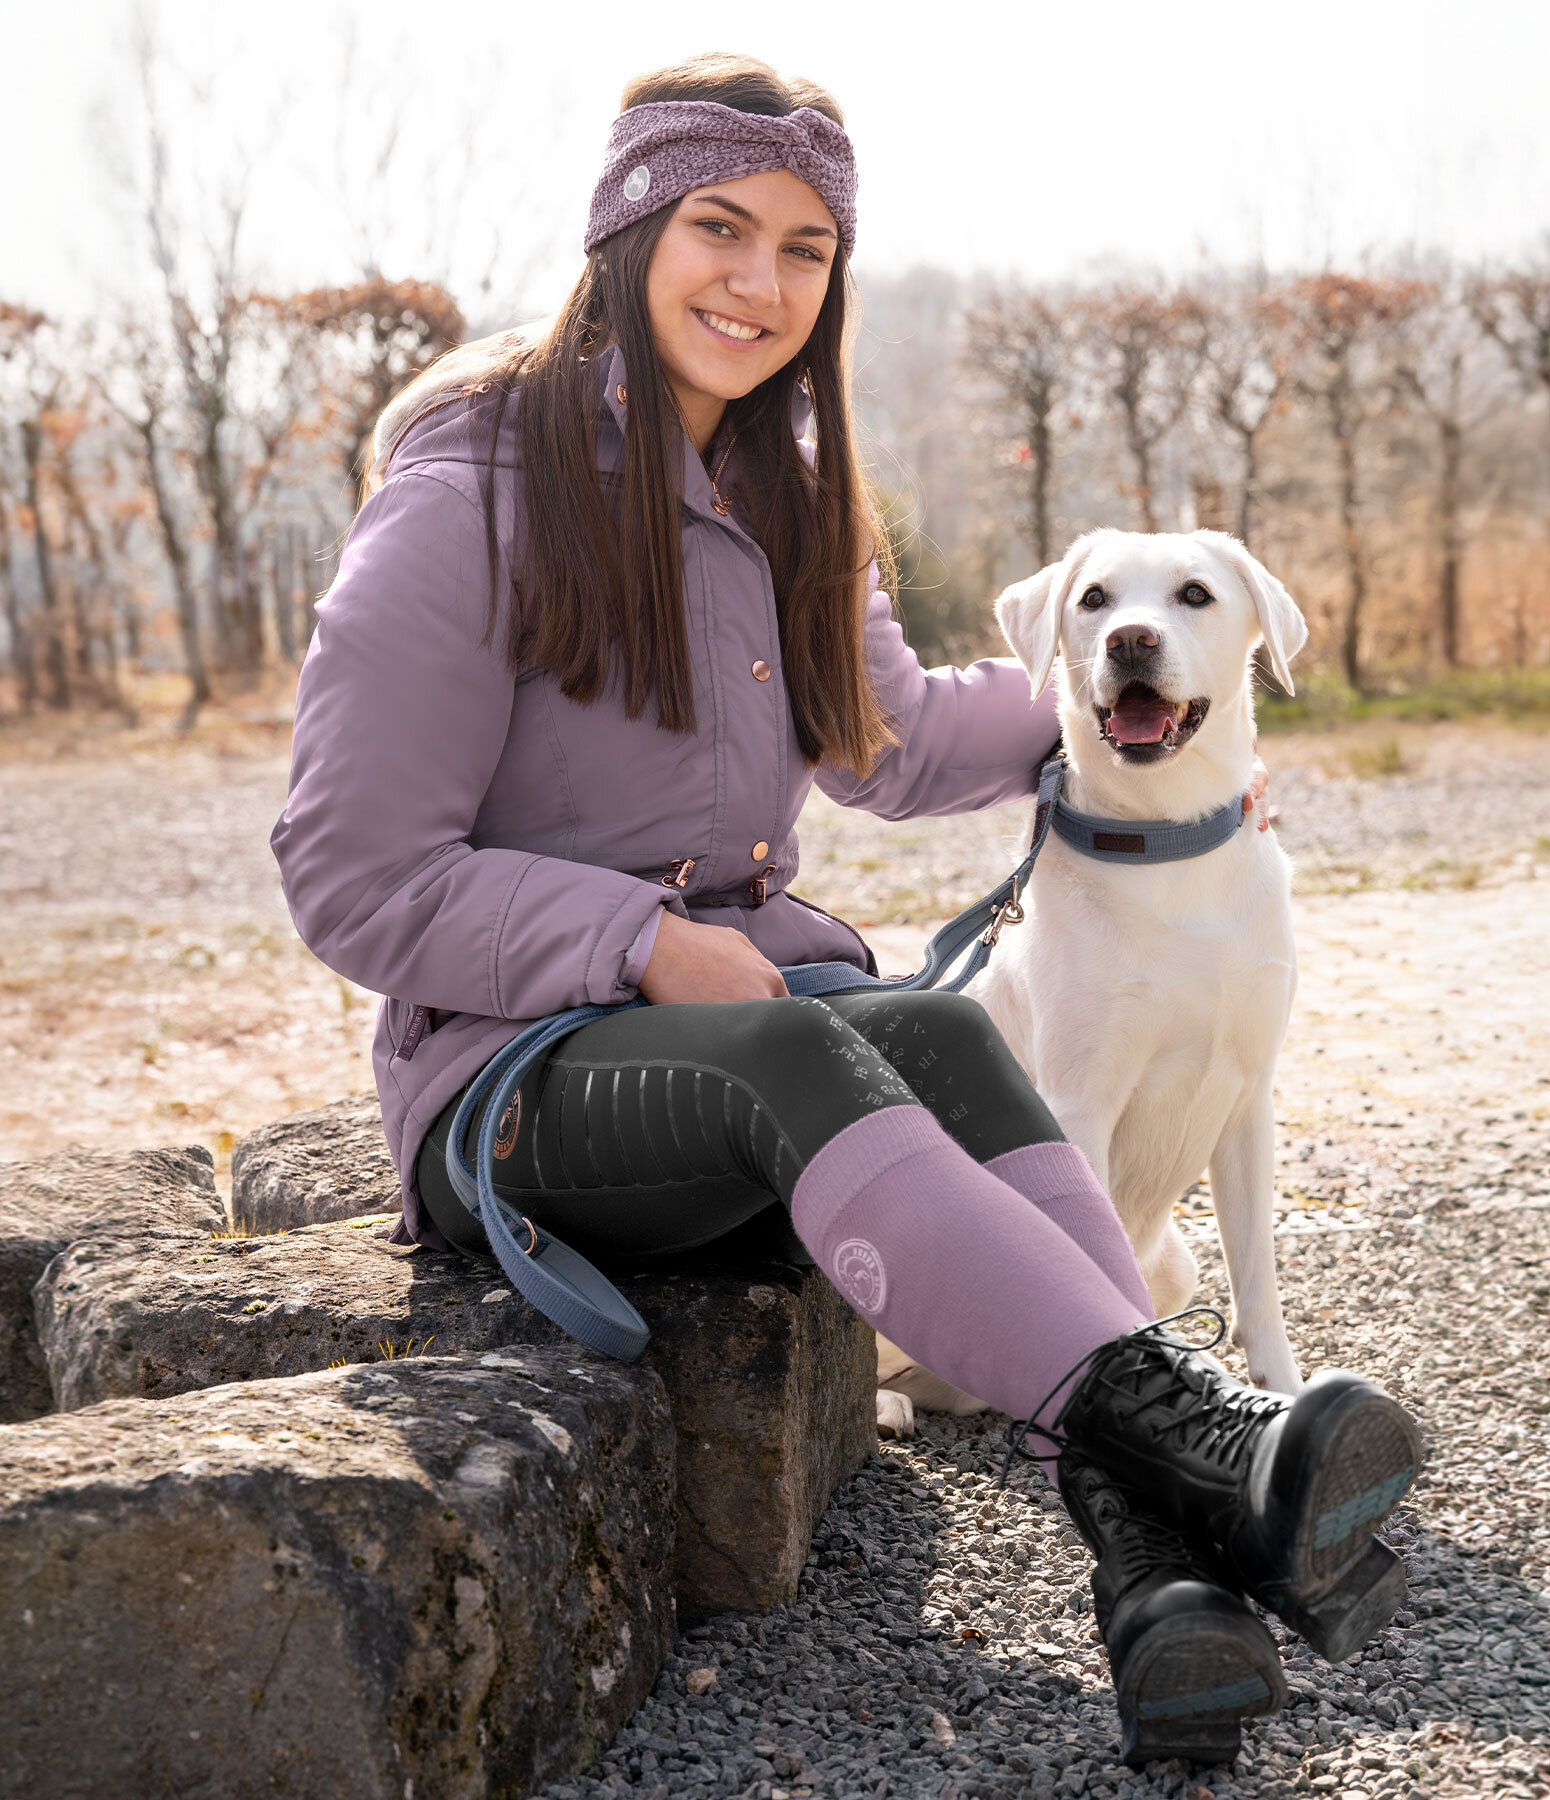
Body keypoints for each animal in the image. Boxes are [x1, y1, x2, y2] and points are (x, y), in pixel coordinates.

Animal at [878, 525, 1303, 1432]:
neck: (1165, 843)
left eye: (1194, 594)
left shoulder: (1250, 1100)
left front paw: (1281, 1393)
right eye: (1094, 599)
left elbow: (1256, 1279)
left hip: (1174, 1260)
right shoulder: (1081, 1104)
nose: (1130, 641)